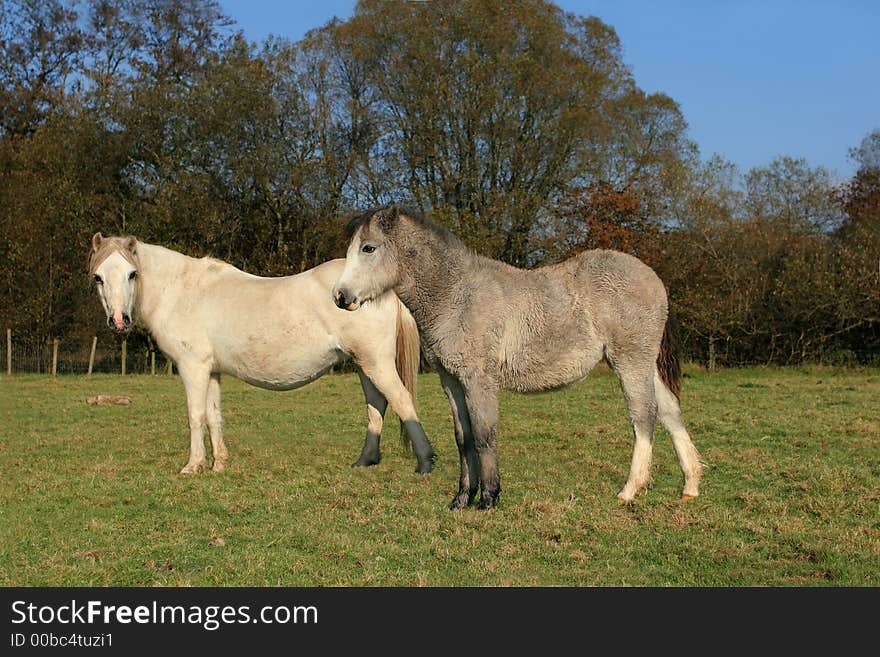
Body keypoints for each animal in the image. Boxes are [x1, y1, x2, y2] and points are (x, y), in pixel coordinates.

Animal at [87, 233, 438, 474]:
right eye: (98, 277)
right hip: (365, 364)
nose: (119, 321)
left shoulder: (193, 368)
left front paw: (193, 466)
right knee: (376, 406)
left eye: (132, 274)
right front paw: (219, 464)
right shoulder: (211, 371)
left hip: (376, 363)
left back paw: (424, 462)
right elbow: (214, 416)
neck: (182, 291)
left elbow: (195, 416)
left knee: (402, 400)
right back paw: (365, 460)